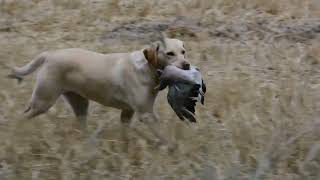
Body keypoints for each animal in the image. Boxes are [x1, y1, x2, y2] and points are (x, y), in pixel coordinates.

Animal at [8, 36, 190, 145]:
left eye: (183, 52)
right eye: (170, 53)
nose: (186, 65)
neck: (146, 67)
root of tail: (50, 54)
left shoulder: (127, 112)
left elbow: (126, 133)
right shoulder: (146, 114)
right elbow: (163, 136)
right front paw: (171, 148)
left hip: (80, 104)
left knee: (82, 127)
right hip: (43, 102)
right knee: (21, 117)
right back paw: (15, 134)